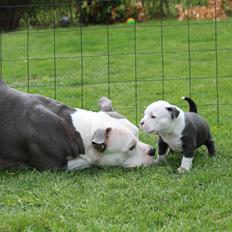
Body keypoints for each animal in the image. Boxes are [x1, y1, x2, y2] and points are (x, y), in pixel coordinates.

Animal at [0, 80, 156, 171]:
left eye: (138, 135)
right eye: (131, 147)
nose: (153, 150)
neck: (76, 131)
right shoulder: (53, 166)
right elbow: (88, 162)